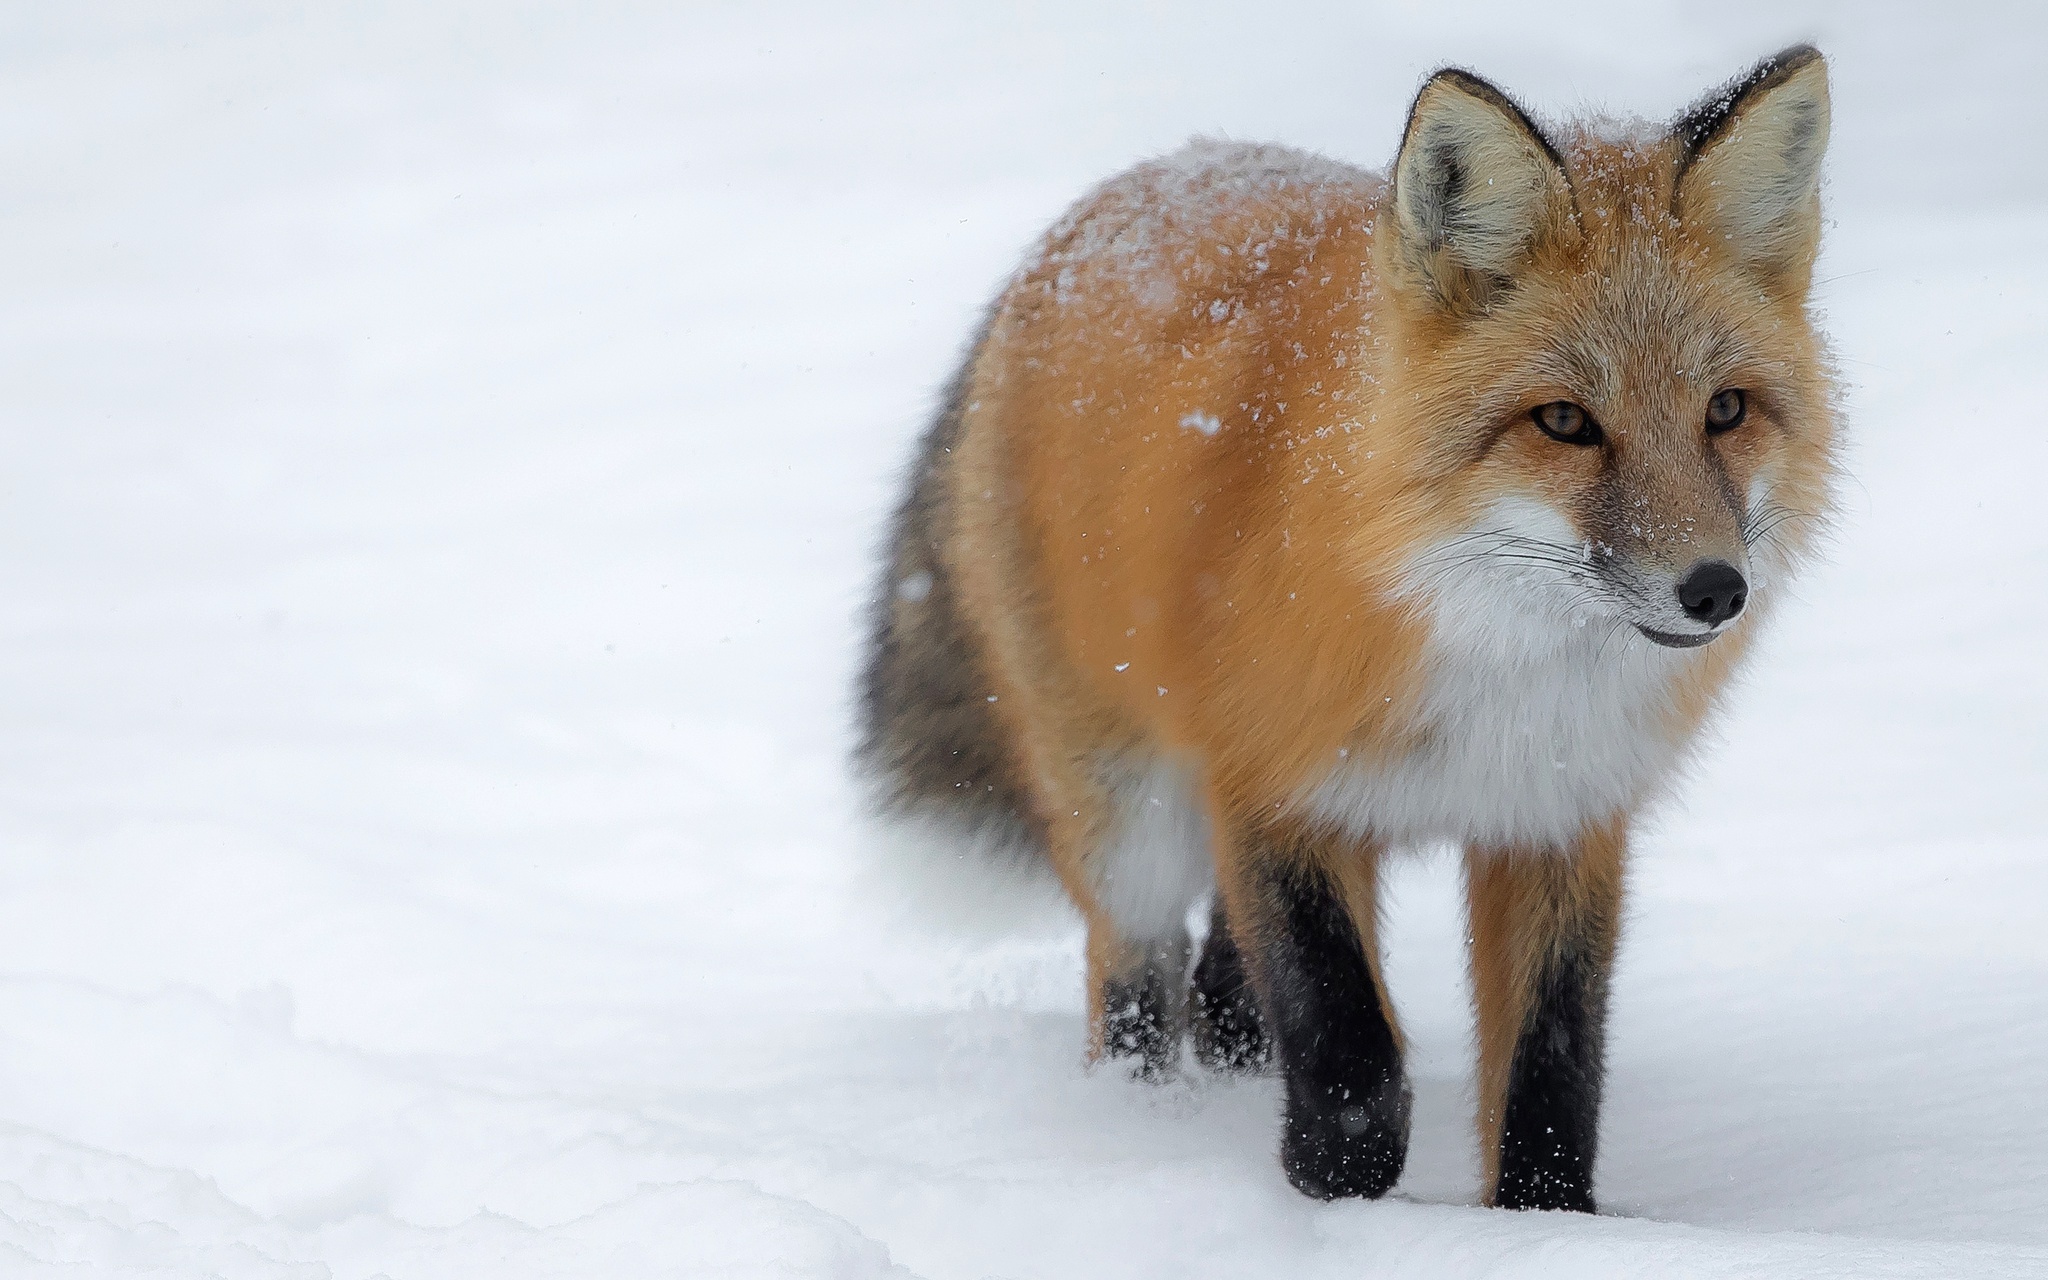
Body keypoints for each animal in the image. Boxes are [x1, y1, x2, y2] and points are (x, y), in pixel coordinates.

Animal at [860, 47, 1843, 1204]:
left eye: (1724, 410)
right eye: (1563, 422)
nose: (1713, 589)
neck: (1494, 666)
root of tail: (1130, 187)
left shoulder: (1558, 818)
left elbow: (1552, 1068)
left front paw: (1544, 1219)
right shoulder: (1273, 788)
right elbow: (1347, 1055)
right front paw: (1337, 1199)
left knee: (1220, 984)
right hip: (1127, 810)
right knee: (1133, 975)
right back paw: (1143, 1131)